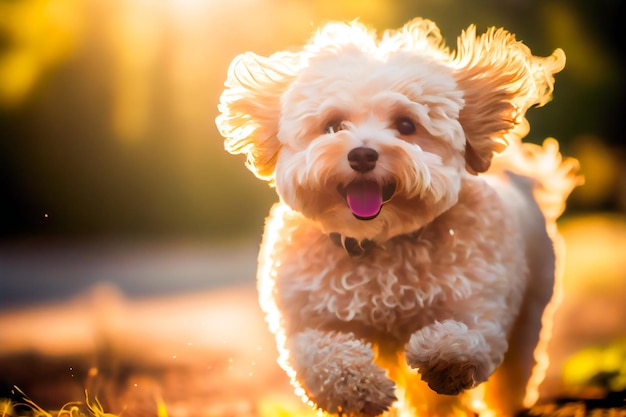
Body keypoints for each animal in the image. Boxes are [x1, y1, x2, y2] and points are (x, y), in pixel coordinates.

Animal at [214, 17, 580, 414]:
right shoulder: (304, 324)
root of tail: (521, 179)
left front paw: (442, 354)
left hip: (533, 310)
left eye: (406, 125)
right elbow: (321, 355)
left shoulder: (481, 306)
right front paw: (361, 386)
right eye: (333, 125)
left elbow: (468, 338)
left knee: (514, 371)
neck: (379, 244)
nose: (362, 154)